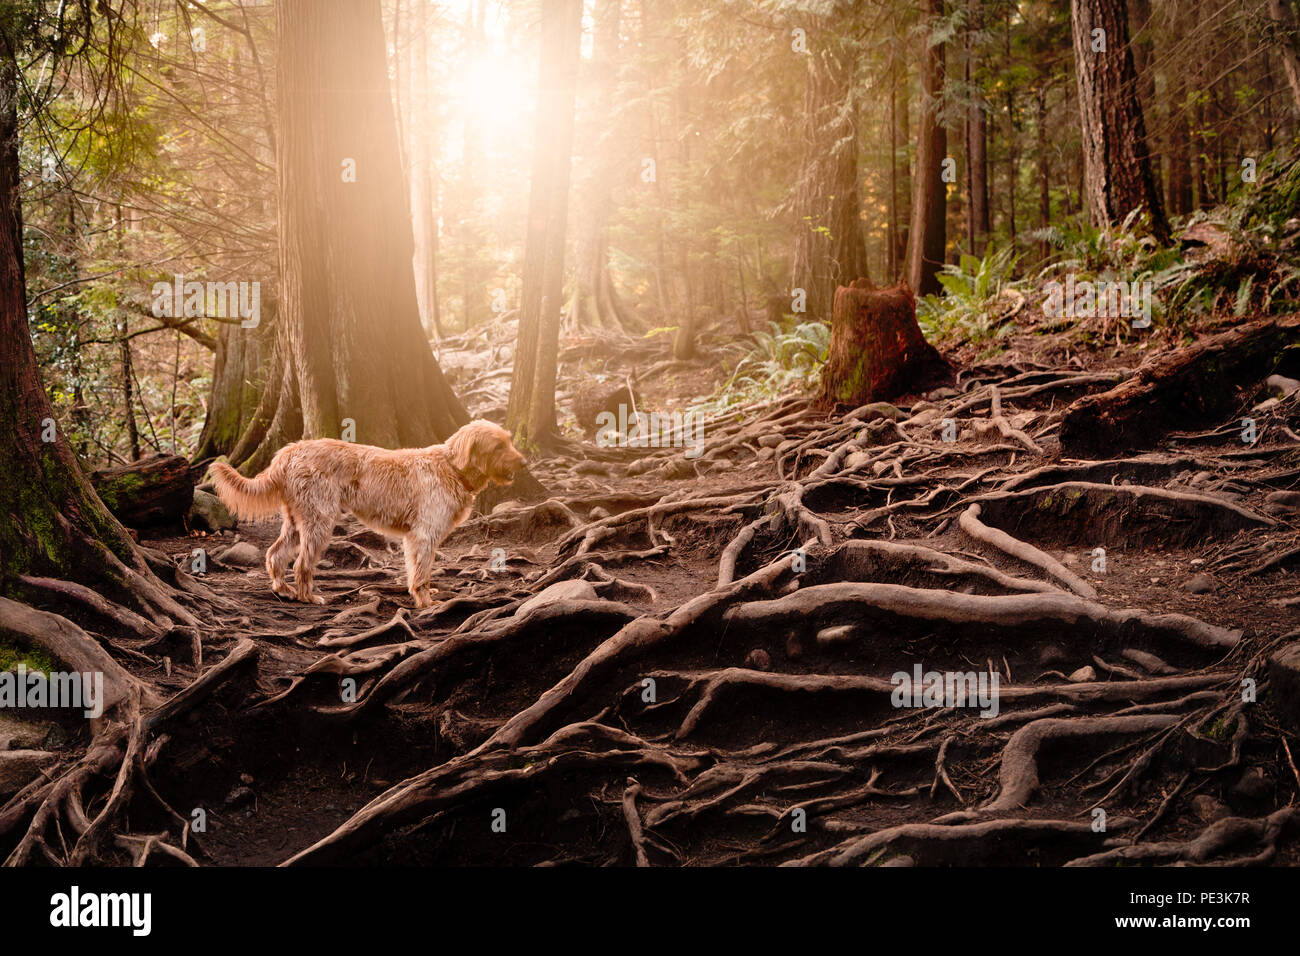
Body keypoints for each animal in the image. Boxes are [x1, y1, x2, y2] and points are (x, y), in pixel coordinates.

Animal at [210, 424, 525, 608]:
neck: (451, 467)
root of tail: (289, 451)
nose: (523, 462)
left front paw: (422, 595)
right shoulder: (424, 536)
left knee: (275, 555)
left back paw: (284, 590)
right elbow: (421, 573)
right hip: (319, 522)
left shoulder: (416, 538)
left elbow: (416, 570)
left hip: (297, 521)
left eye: (510, 441)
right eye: (498, 446)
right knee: (301, 564)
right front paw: (425, 601)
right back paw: (308, 597)